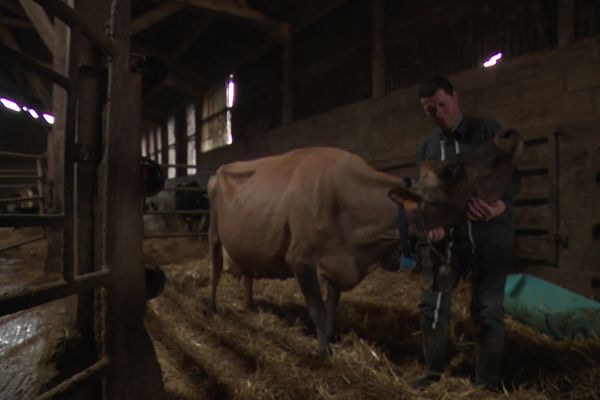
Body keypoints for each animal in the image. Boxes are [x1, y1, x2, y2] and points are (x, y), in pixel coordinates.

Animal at [209, 127, 524, 356]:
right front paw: (322, 352)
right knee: (214, 270)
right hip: (214, 235)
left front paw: (331, 338)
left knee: (247, 275)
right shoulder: (300, 258)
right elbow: (317, 308)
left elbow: (331, 307)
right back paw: (212, 307)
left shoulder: (339, 263)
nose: (506, 135)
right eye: (449, 169)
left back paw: (249, 306)